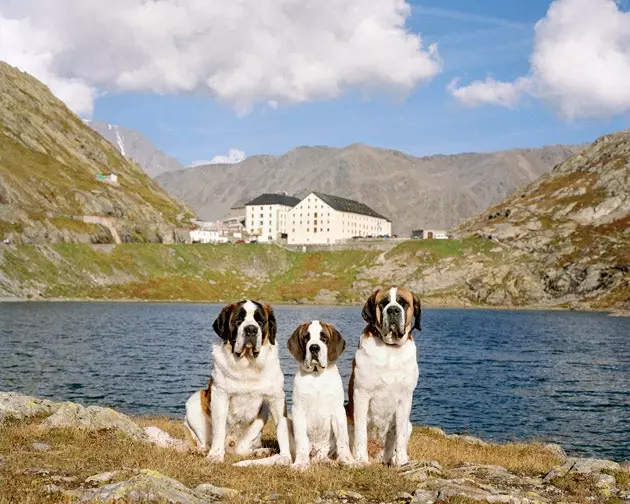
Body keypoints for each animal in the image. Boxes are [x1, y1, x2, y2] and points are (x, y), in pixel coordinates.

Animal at [183, 300, 292, 464]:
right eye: (238, 320)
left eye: (260, 321)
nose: (251, 329)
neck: (247, 364)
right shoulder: (220, 394)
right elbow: (219, 427)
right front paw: (215, 455)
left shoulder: (276, 398)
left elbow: (282, 427)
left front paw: (285, 457)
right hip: (195, 401)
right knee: (204, 442)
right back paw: (201, 451)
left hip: (263, 414)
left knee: (242, 448)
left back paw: (259, 452)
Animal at [348, 286, 422, 466]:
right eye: (383, 303)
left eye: (403, 303)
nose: (393, 310)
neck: (390, 349)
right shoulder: (361, 393)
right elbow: (361, 432)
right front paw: (361, 459)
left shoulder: (405, 398)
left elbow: (400, 434)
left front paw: (401, 461)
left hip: (409, 425)